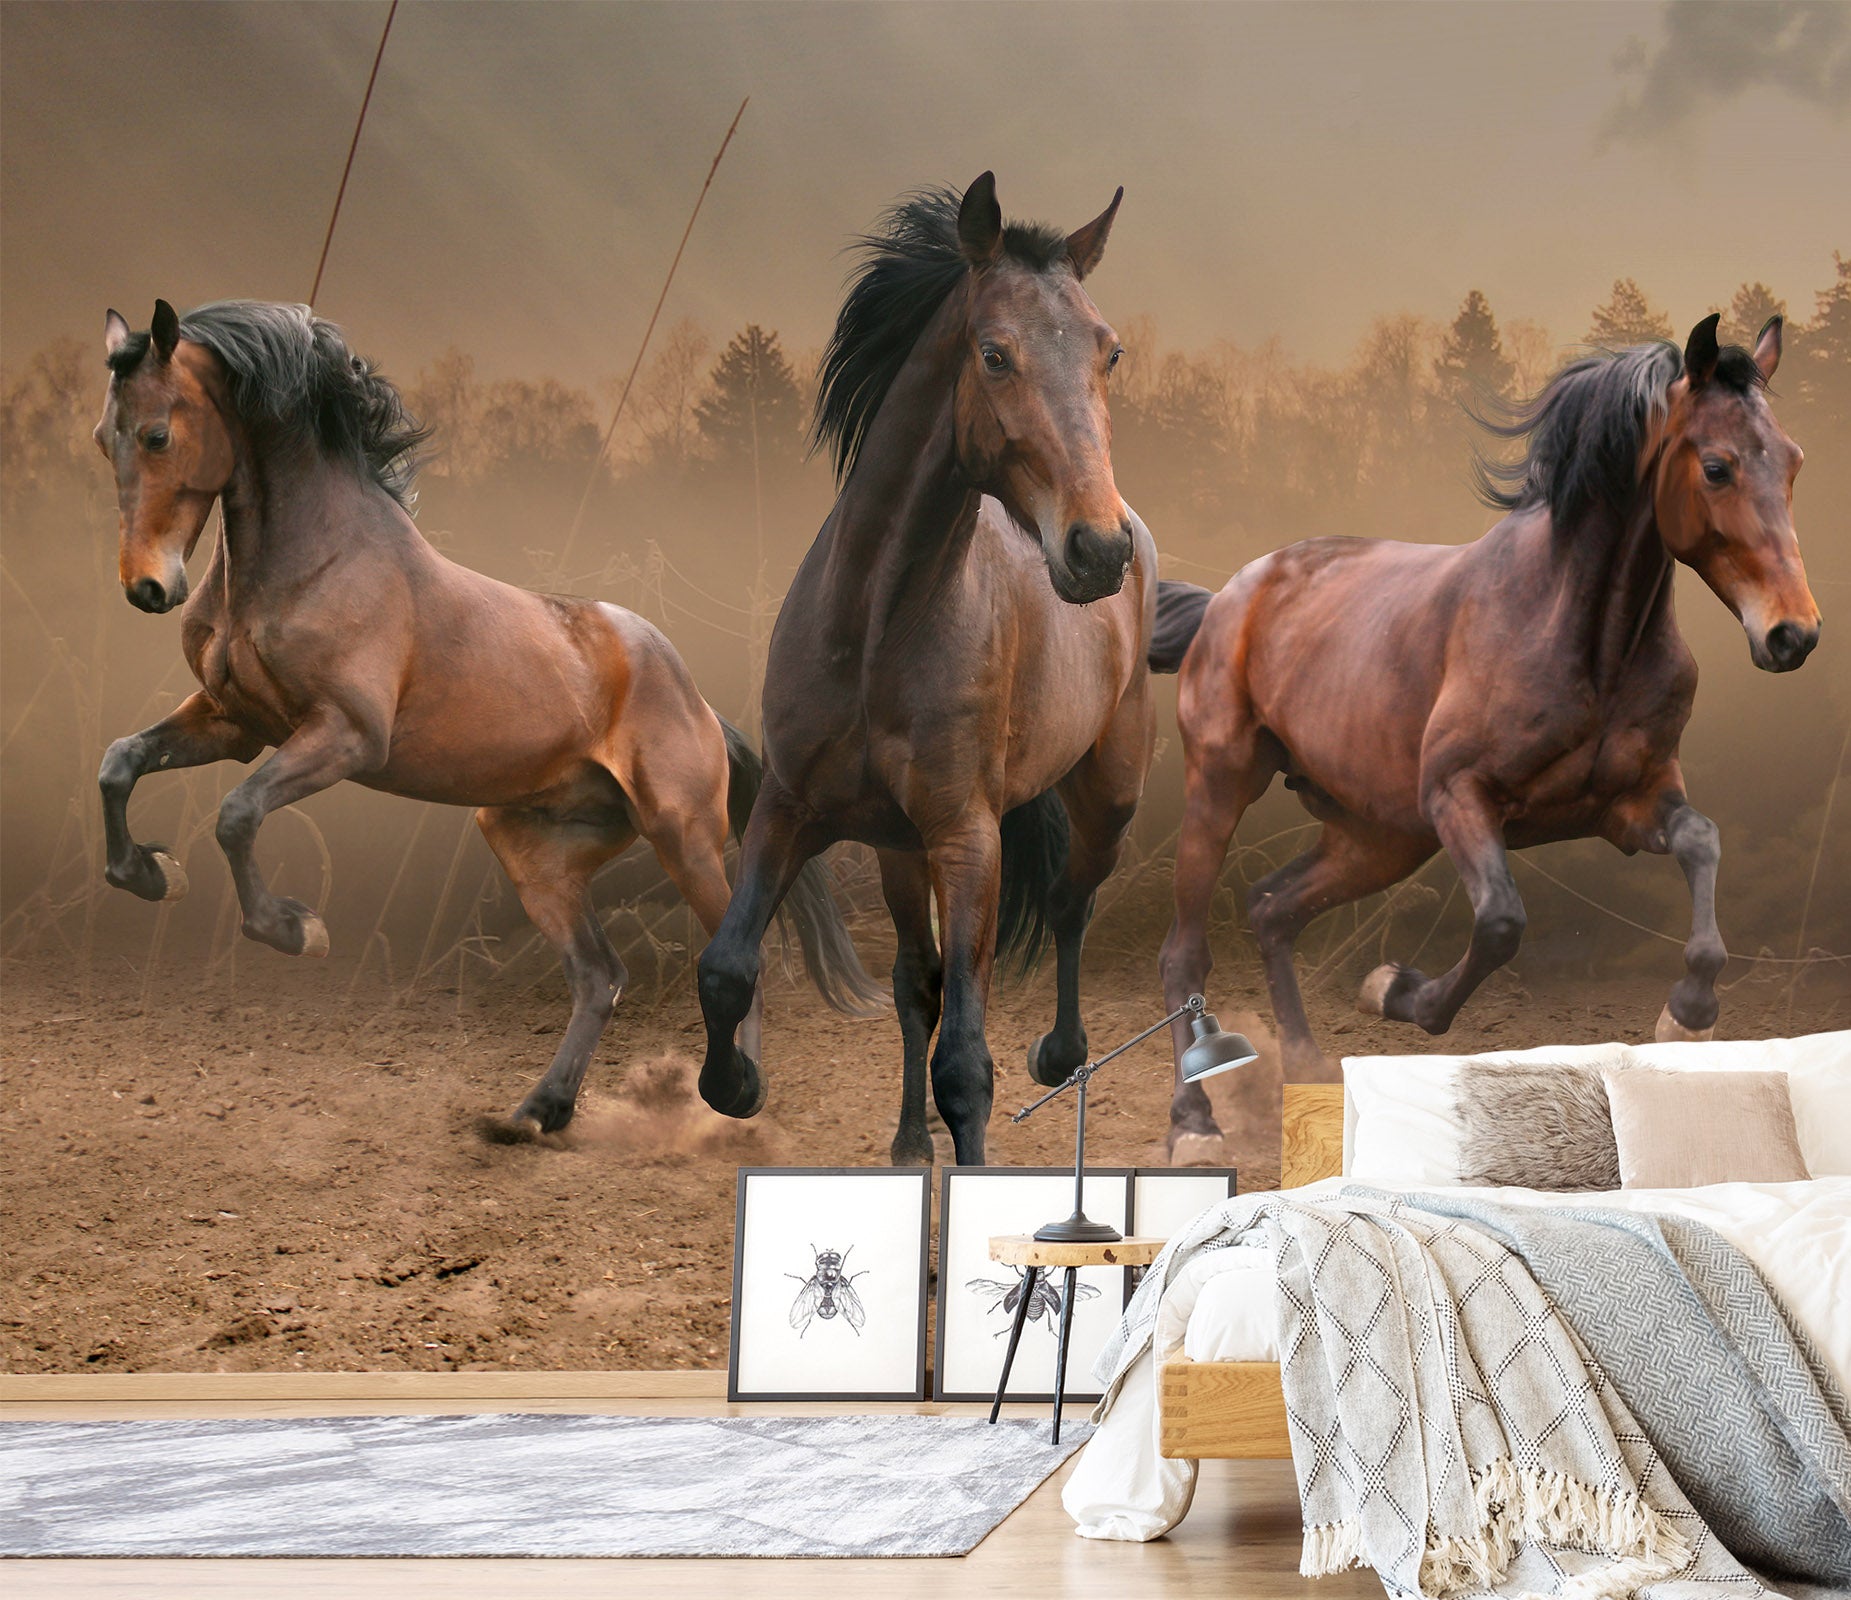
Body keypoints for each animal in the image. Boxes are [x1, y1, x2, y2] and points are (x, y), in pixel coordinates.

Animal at [92, 298, 879, 1139]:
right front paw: (149, 874)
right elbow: (120, 762)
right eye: (105, 437)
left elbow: (237, 815)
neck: (314, 561)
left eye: (157, 434)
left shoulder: (345, 736)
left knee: (732, 956)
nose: (148, 587)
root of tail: (698, 703)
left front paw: (295, 930)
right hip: (533, 848)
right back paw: (540, 1111)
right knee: (599, 975)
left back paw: (735, 1094)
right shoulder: (238, 725)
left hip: (682, 836)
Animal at [693, 173, 1160, 1167]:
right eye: (994, 353)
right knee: (918, 979)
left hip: (1107, 790)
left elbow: (967, 1065)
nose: (1096, 551)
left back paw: (1059, 1054)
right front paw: (737, 1085)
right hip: (898, 851)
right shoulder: (791, 806)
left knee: (1070, 904)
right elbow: (727, 966)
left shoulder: (967, 839)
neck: (876, 635)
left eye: (1109, 352)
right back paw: (909, 1142)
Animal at [1151, 313, 1819, 1151]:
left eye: (1792, 461)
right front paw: (1396, 990)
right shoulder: (1458, 797)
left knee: (1273, 909)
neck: (1582, 638)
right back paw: (1194, 1122)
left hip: (1378, 837)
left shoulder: (1629, 805)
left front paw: (1687, 1016)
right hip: (1222, 786)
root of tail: (1227, 599)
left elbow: (1702, 840)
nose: (1793, 634)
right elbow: (1501, 924)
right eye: (1718, 466)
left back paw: (1307, 1071)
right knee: (1184, 951)